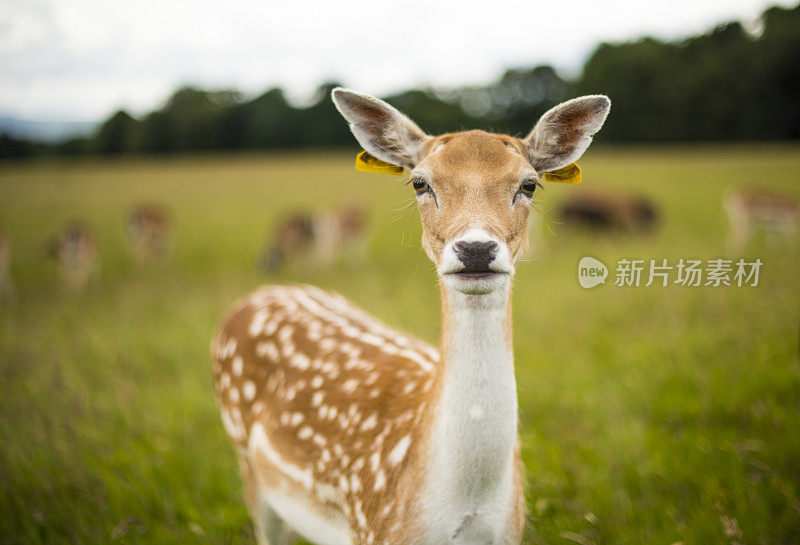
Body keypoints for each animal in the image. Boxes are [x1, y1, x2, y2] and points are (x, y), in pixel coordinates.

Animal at [212, 88, 612, 544]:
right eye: (420, 182)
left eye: (529, 184)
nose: (476, 248)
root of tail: (258, 295)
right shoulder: (374, 529)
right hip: (247, 463)